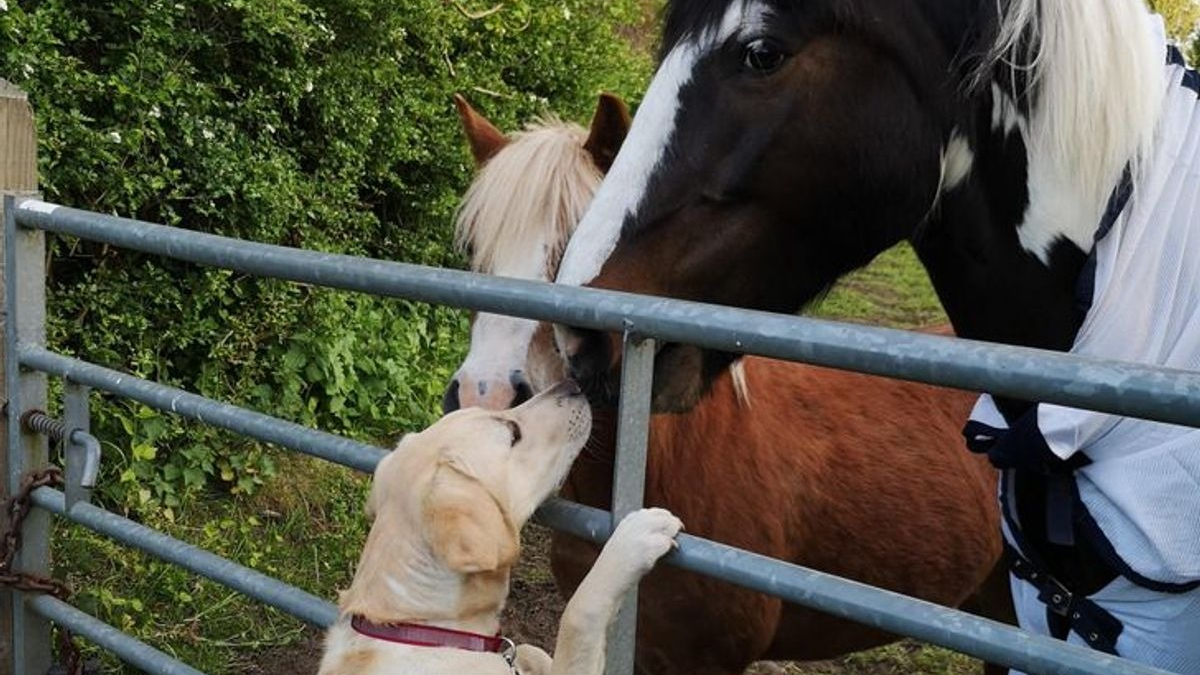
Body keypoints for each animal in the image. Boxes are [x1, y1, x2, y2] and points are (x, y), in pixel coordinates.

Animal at [319, 379, 681, 672]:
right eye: (512, 433)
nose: (572, 383)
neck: (422, 623)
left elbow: (529, 649)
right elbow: (578, 613)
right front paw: (635, 539)